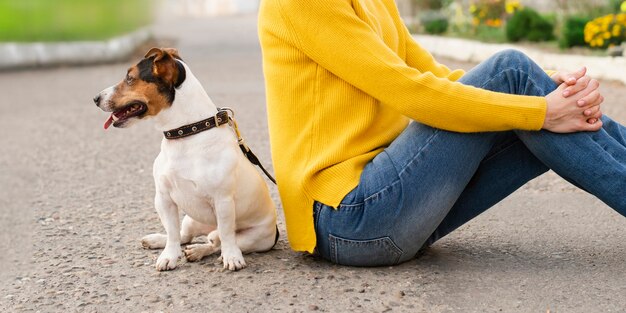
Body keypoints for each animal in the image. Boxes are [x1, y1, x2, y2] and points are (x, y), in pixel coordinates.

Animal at [92, 47, 276, 270]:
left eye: (130, 77)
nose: (95, 98)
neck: (185, 134)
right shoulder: (163, 198)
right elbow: (172, 233)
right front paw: (168, 256)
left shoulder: (223, 200)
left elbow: (226, 234)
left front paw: (232, 257)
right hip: (190, 219)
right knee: (185, 236)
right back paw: (159, 241)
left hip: (252, 237)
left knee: (216, 242)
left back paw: (201, 251)